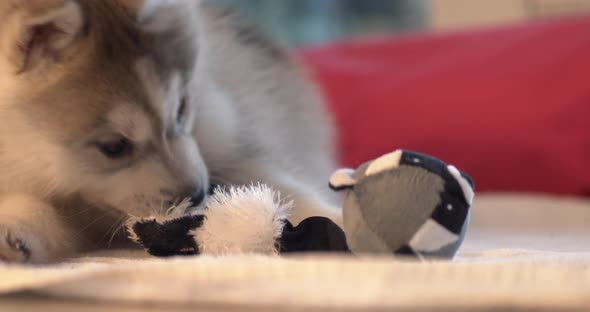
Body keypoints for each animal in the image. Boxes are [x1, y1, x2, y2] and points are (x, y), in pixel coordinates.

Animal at [0, 0, 340, 264]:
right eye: (114, 147)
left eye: (181, 108)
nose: (199, 193)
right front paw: (15, 228)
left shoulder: (227, 140)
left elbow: (275, 185)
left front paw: (333, 218)